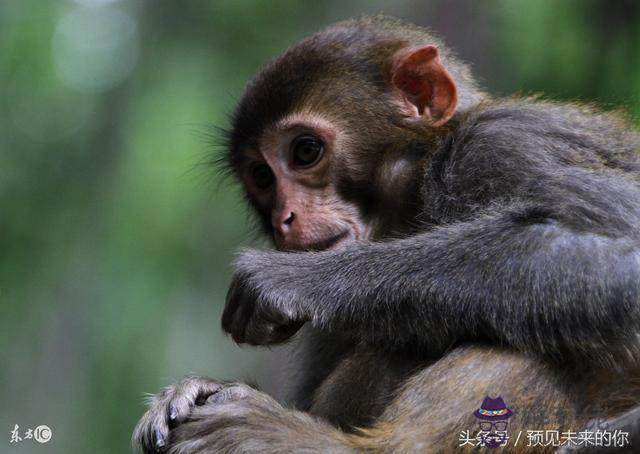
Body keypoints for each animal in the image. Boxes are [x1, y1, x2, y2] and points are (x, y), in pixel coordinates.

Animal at [134, 15, 640, 452]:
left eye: (305, 151)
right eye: (261, 177)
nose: (284, 218)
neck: (423, 180)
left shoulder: (509, 146)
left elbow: (625, 260)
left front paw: (288, 280)